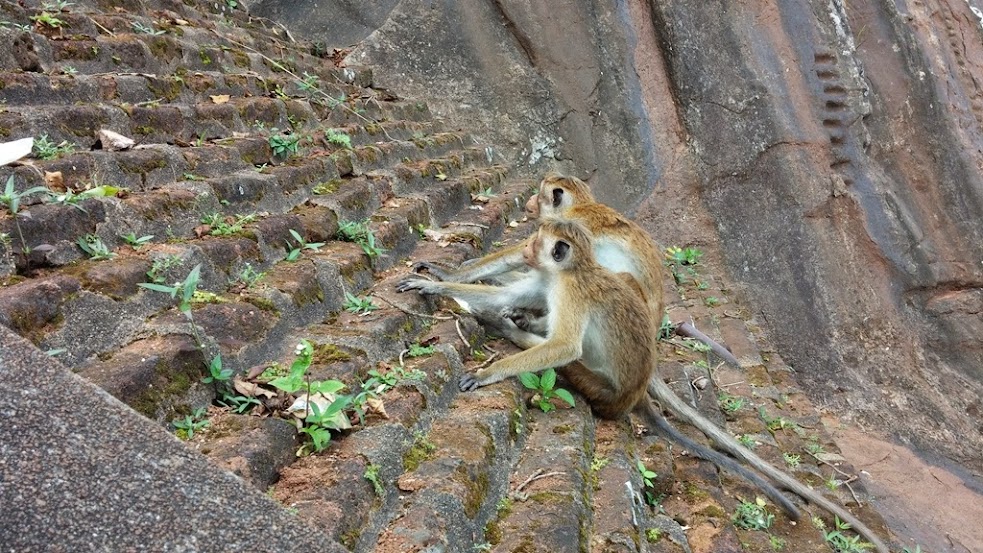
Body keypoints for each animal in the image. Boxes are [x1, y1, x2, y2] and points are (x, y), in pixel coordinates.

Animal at [404, 174, 896, 552]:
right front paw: (446, 282)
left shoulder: (569, 245)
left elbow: (558, 330)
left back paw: (514, 324)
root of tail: (643, 380)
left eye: (541, 196)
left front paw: (461, 290)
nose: (526, 206)